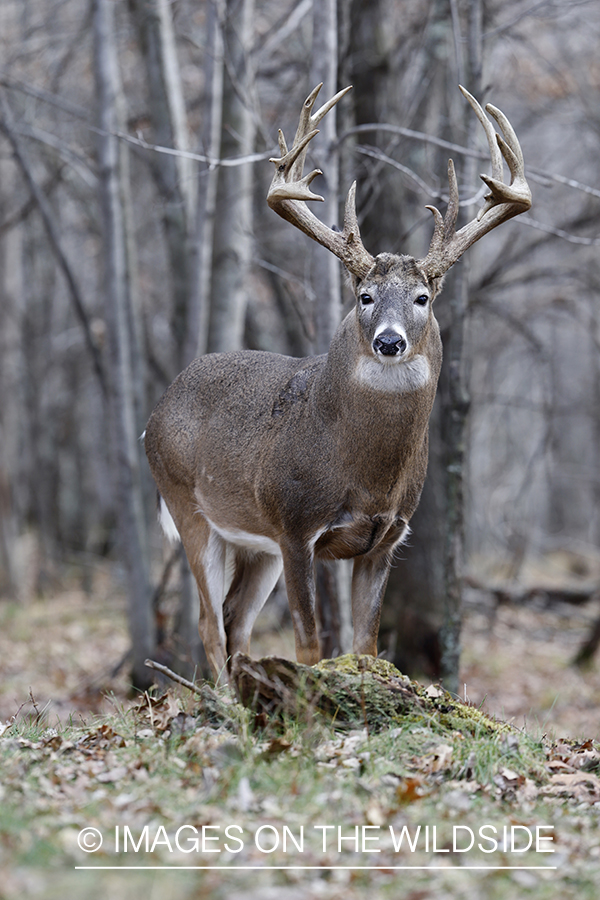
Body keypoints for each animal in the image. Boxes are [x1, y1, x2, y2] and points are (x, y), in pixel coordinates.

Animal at [144, 86, 528, 684]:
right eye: (364, 296)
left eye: (422, 298)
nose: (390, 341)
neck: (365, 472)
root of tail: (156, 412)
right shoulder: (296, 527)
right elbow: (309, 645)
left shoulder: (385, 539)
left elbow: (366, 644)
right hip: (190, 506)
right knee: (209, 624)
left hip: (255, 544)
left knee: (234, 620)